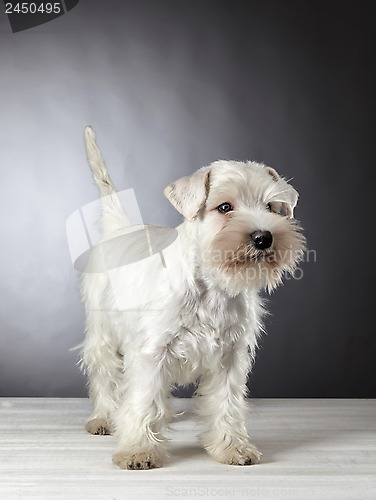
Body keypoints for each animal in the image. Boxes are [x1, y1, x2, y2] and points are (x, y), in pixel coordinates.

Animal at [79, 125, 306, 468]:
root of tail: (120, 230)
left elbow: (227, 404)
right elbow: (144, 401)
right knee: (105, 377)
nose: (263, 237)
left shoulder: (230, 356)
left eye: (271, 207)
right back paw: (104, 418)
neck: (212, 286)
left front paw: (232, 447)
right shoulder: (152, 353)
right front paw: (139, 450)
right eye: (224, 207)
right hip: (103, 335)